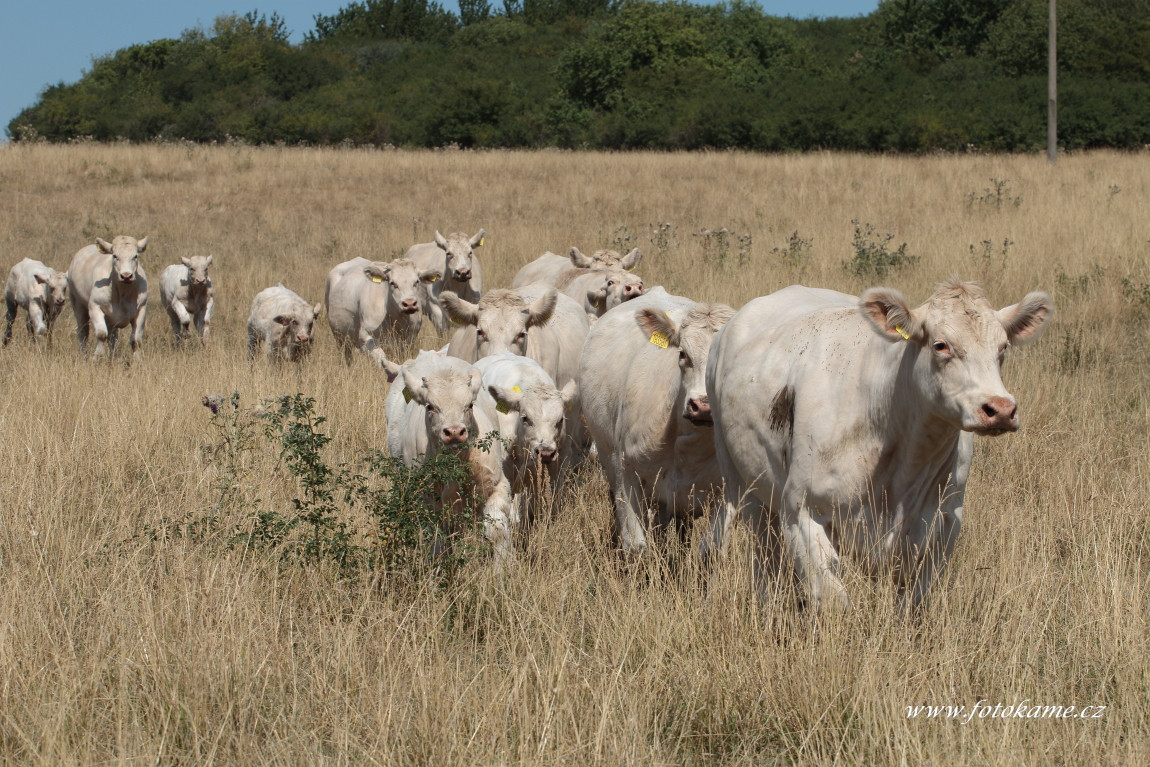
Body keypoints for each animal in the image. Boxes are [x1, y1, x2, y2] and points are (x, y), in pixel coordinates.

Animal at [386, 351, 512, 561]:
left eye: (469, 405)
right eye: (430, 406)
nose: (454, 432)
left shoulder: (495, 484)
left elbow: (497, 532)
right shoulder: (426, 500)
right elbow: (435, 542)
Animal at [703, 281, 1053, 611]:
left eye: (1002, 347)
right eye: (941, 345)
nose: (1000, 409)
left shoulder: (944, 525)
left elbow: (912, 605)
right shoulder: (801, 509)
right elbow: (833, 601)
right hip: (743, 486)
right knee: (764, 557)